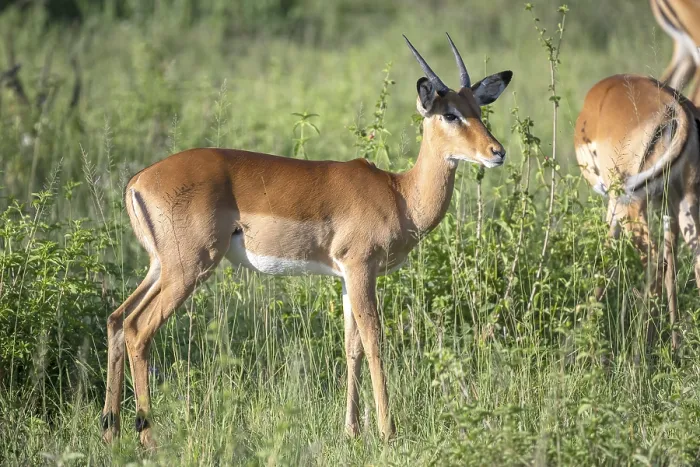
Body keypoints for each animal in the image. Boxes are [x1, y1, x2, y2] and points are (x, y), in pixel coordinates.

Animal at [101, 34, 513, 447]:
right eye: (450, 114)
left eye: (478, 109)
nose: (498, 152)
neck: (399, 194)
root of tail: (137, 180)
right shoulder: (361, 268)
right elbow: (374, 340)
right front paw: (387, 432)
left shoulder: (347, 276)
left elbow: (352, 346)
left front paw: (351, 431)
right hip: (189, 267)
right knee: (138, 329)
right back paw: (148, 439)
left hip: (162, 267)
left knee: (117, 319)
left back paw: (110, 431)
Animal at [575, 74, 700, 350]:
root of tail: (674, 108)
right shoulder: (667, 205)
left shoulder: (615, 203)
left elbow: (605, 256)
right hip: (685, 201)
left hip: (630, 203)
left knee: (655, 262)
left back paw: (641, 350)